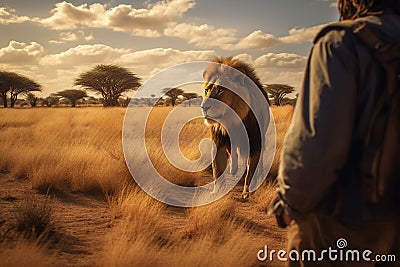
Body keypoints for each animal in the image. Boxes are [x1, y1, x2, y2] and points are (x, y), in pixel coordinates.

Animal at [202, 56, 270, 200]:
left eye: (221, 90)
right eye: (207, 90)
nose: (204, 107)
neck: (231, 121)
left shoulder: (255, 143)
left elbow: (251, 171)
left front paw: (246, 192)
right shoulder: (219, 142)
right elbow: (217, 169)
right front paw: (217, 192)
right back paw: (233, 170)